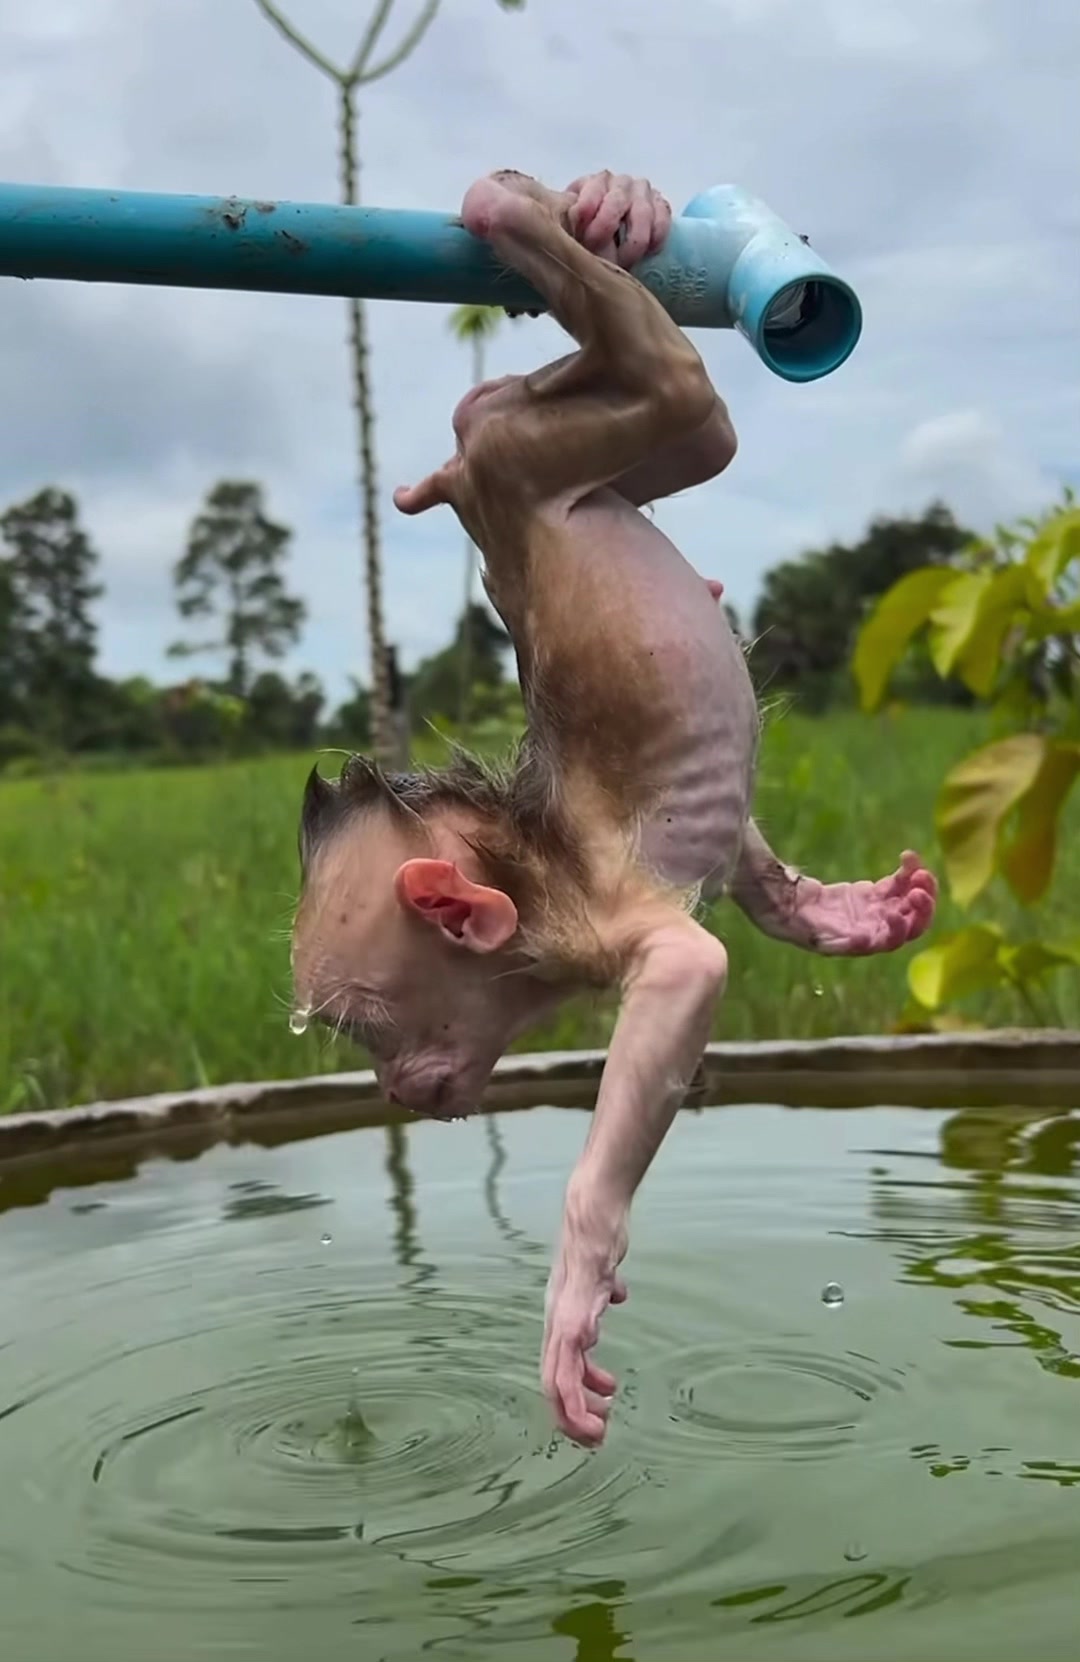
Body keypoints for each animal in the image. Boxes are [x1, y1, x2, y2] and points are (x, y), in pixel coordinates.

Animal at [292, 168, 937, 1449]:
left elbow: (693, 968)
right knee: (582, 411)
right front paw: (839, 916)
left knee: (656, 388)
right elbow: (751, 874)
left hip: (534, 467)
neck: (519, 857)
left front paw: (577, 1280)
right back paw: (585, 216)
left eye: (364, 1032)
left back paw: (532, 209)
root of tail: (489, 488)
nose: (392, 1093)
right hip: (539, 473)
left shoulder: (597, 927)